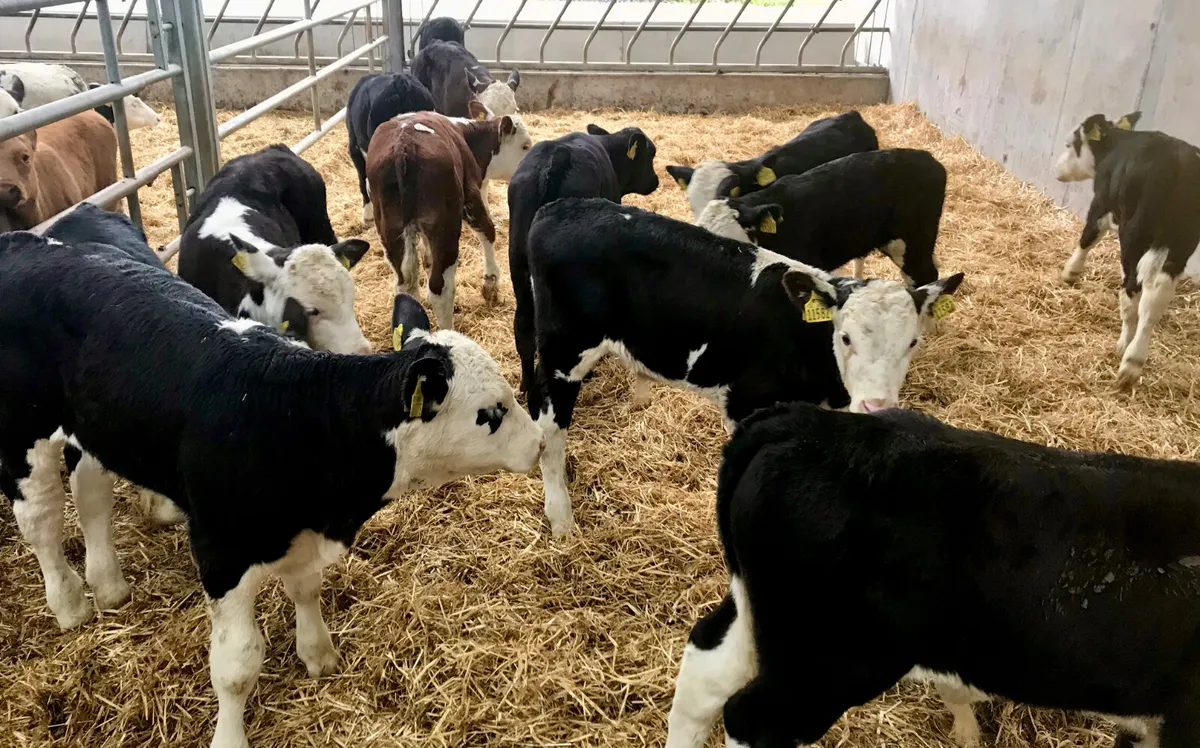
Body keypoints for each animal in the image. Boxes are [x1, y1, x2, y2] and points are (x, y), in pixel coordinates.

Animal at [0, 225, 544, 748]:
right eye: (490, 413)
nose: (540, 443)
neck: (298, 416)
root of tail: (24, 243)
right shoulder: (221, 551)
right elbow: (237, 666)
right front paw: (229, 738)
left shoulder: (300, 534)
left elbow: (306, 589)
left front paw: (318, 653)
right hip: (24, 433)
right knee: (41, 518)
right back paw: (70, 604)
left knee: (91, 494)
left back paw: (109, 586)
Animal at [366, 110, 532, 330]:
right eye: (525, 146)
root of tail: (404, 145)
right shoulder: (471, 194)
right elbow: (488, 230)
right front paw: (491, 283)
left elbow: (427, 259)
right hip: (445, 226)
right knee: (440, 289)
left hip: (390, 228)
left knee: (405, 285)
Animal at [507, 123, 661, 393]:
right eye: (650, 155)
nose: (656, 181)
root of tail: (555, 159)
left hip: (519, 268)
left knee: (523, 329)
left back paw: (526, 385)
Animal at [525, 198, 963, 536]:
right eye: (845, 337)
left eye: (912, 342)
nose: (877, 405)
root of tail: (560, 207)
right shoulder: (745, 402)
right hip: (563, 355)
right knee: (550, 434)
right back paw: (561, 519)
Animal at [1054, 111, 1200, 391]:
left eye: (1069, 143)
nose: (1056, 170)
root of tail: (1182, 162)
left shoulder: (1101, 203)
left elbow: (1087, 237)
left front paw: (1070, 272)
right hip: (1182, 241)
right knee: (1157, 295)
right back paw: (1135, 356)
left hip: (1135, 233)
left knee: (1133, 290)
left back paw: (1127, 353)